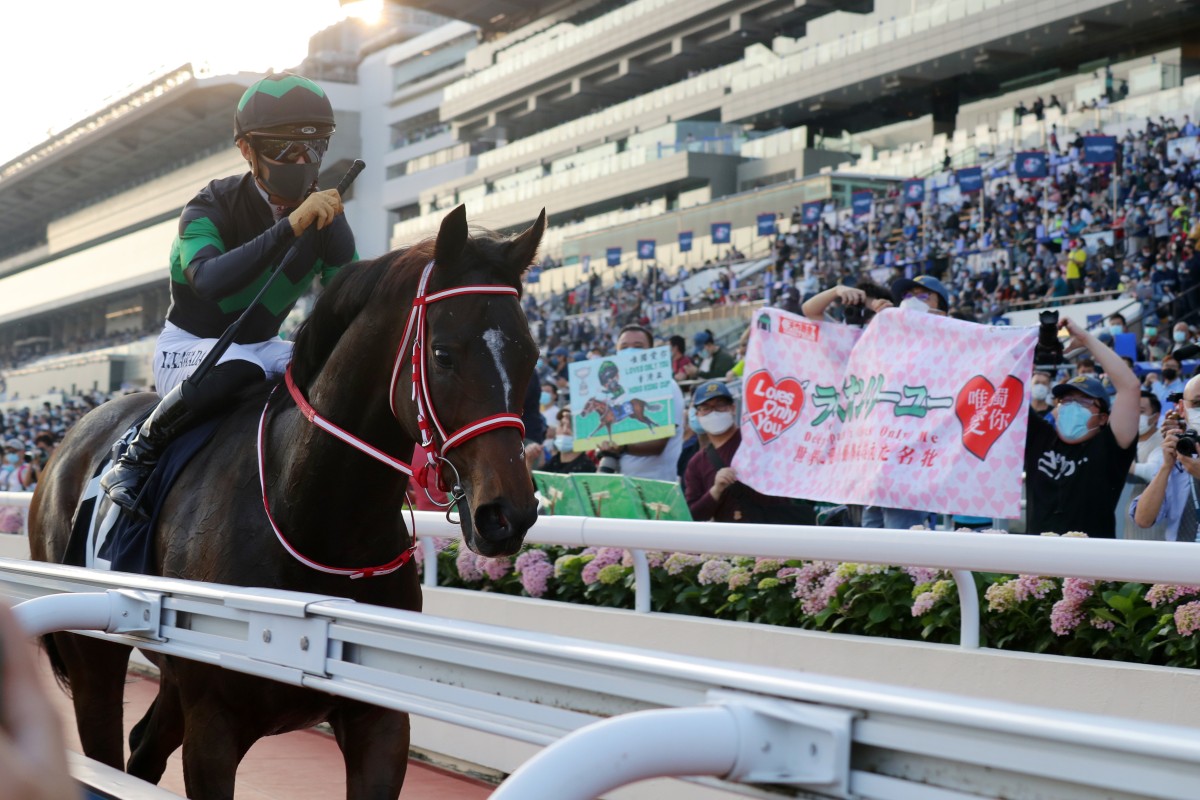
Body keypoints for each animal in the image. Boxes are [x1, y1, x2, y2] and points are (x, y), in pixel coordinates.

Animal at [28, 206, 544, 800]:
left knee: (142, 751)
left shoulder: (379, 722)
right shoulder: (214, 724)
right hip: (94, 654)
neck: (314, 516)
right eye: (443, 355)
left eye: (531, 353)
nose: (507, 513)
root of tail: (69, 440)